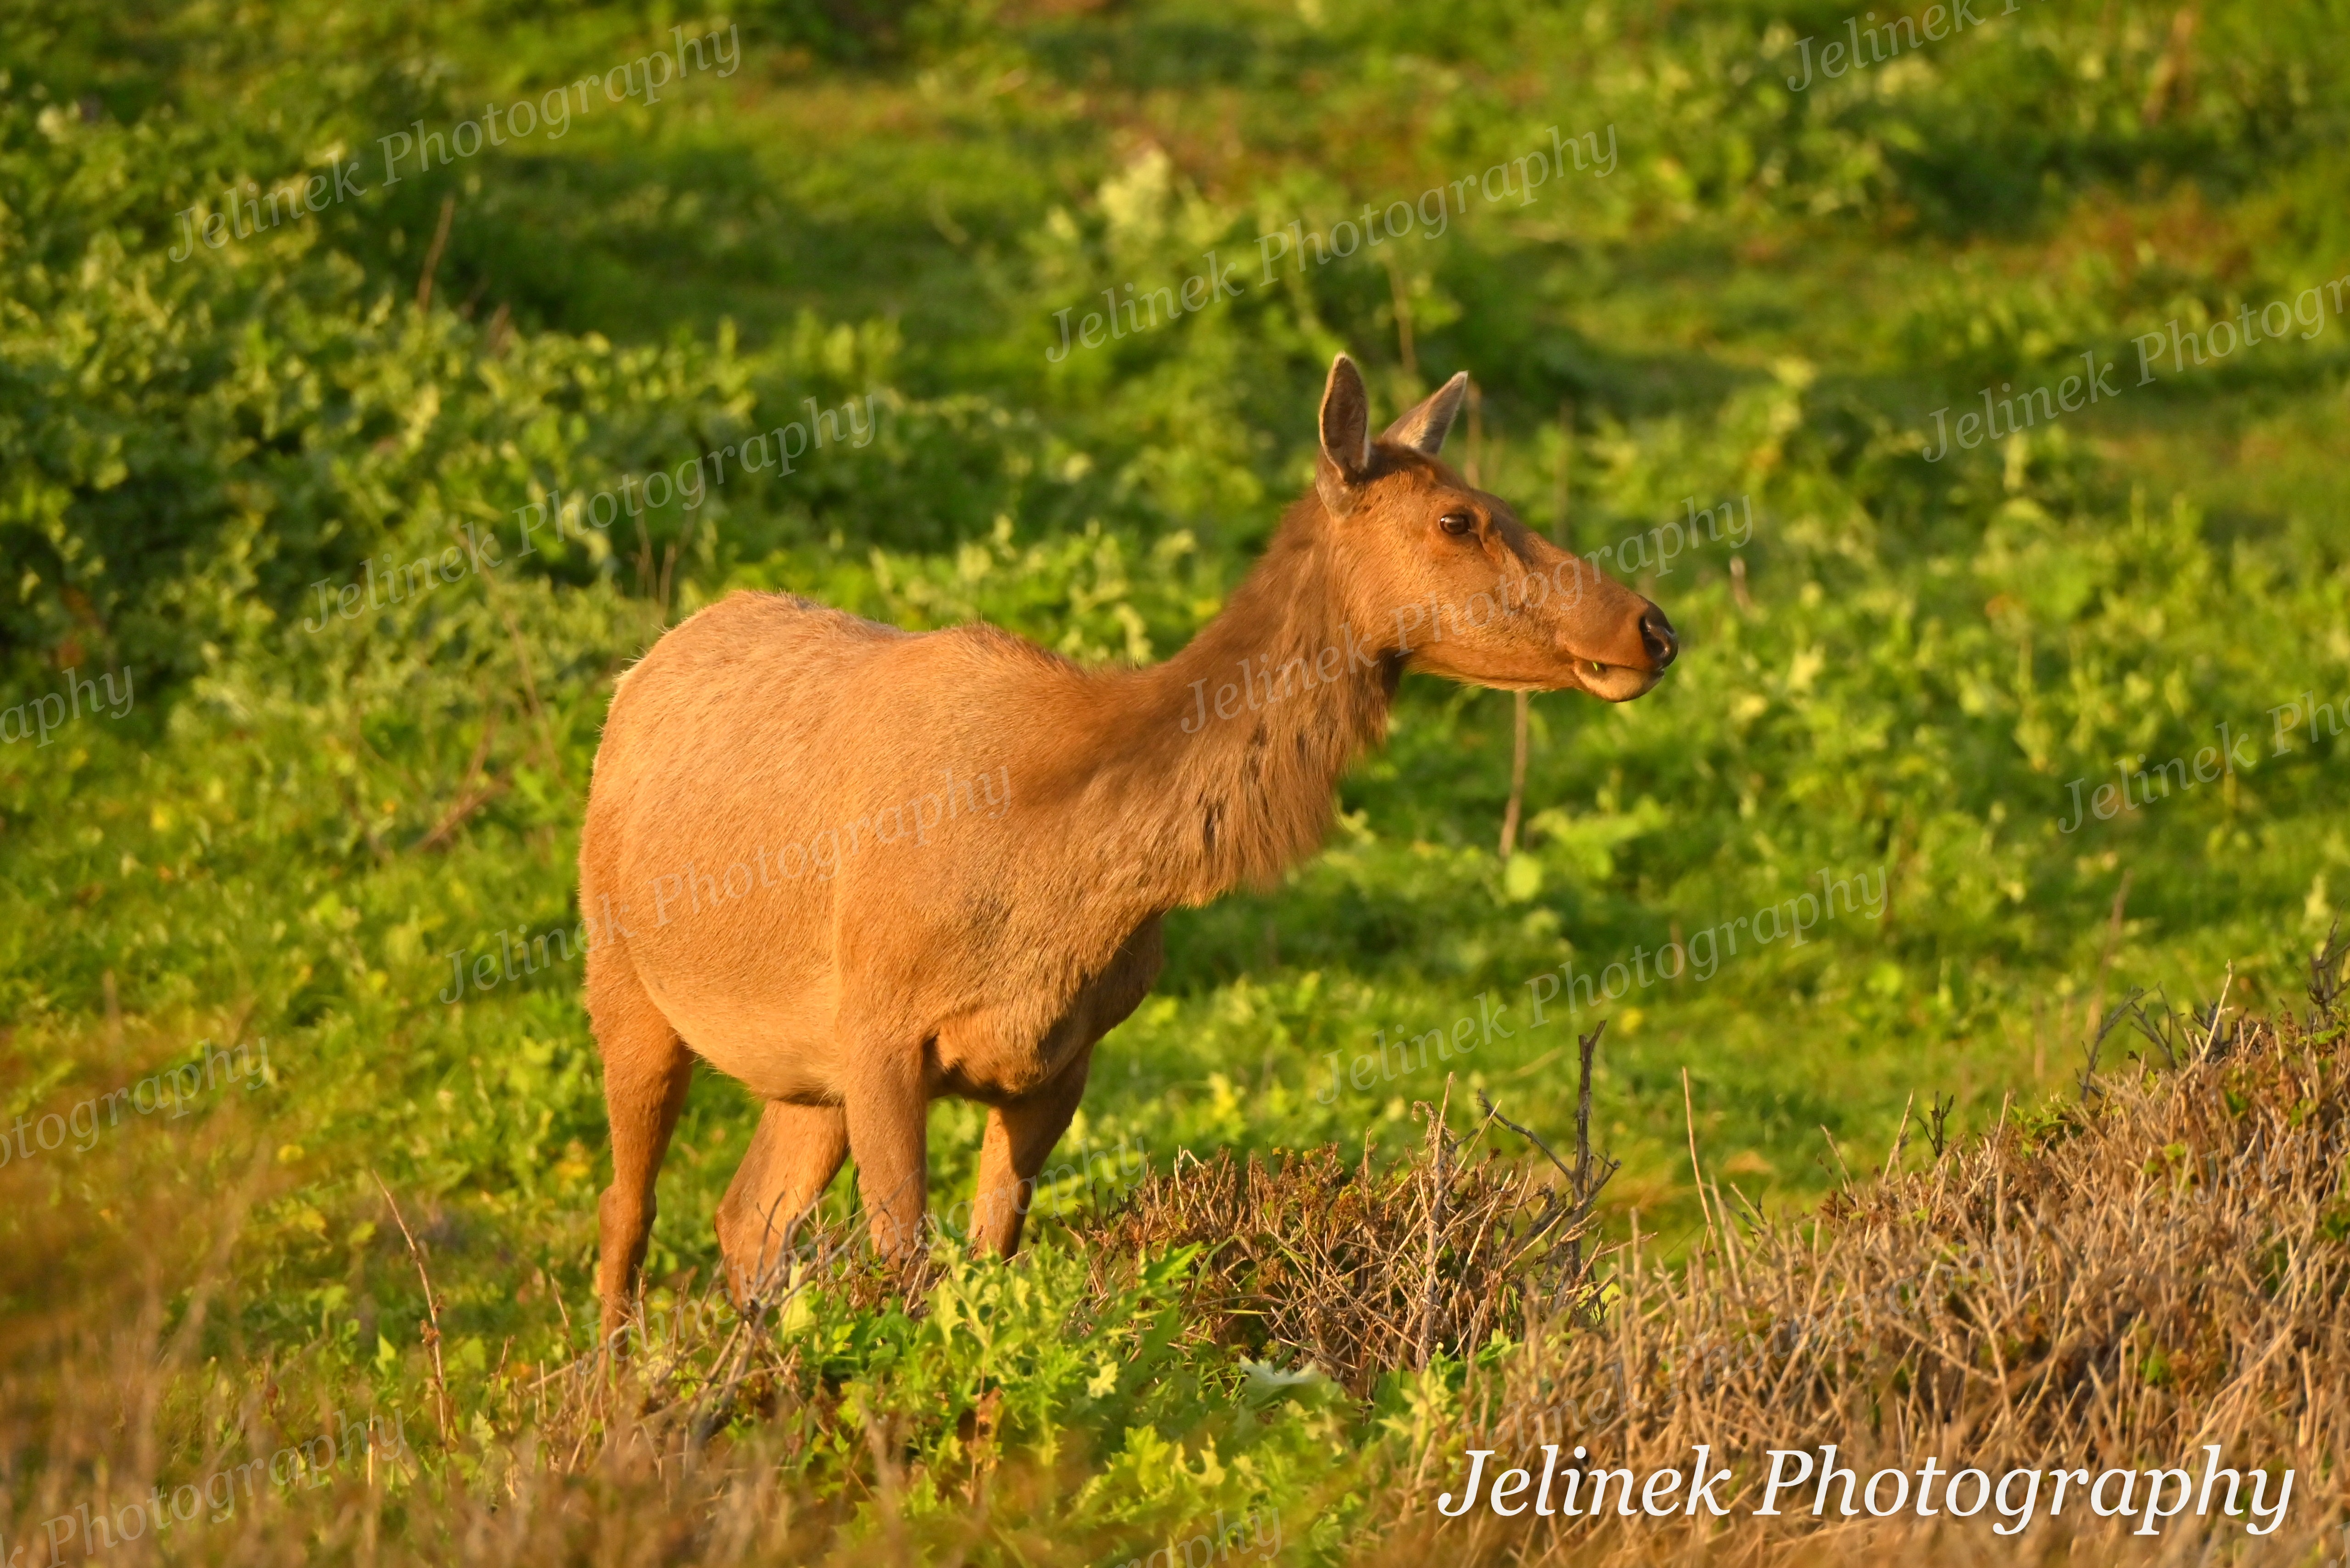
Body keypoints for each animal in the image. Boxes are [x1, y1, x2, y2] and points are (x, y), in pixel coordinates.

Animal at [579, 353, 1677, 1343]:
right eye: (1458, 519)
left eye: (1499, 498)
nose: (1652, 627)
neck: (1065, 866)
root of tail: (641, 669)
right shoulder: (882, 1028)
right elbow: (905, 1269)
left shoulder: (1057, 1063)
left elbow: (986, 1266)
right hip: (622, 973)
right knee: (628, 1210)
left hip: (802, 1069)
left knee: (745, 1218)